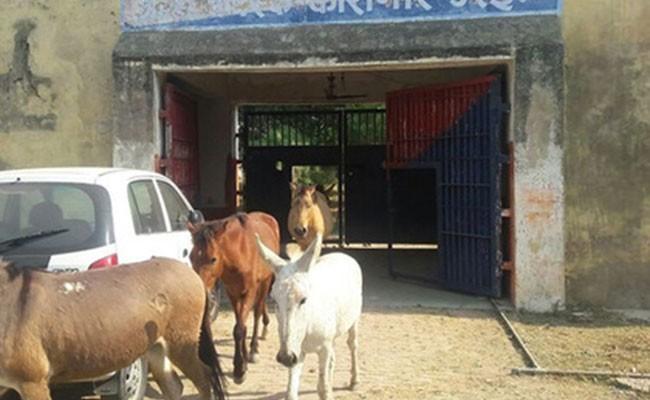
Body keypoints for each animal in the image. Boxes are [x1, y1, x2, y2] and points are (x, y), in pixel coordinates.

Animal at [0, 258, 225, 400]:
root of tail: (191, 272)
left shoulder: (32, 382)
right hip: (156, 348)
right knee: (174, 387)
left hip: (182, 344)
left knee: (204, 381)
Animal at [188, 212, 279, 384]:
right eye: (190, 257)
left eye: (213, 259)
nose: (199, 290)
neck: (240, 253)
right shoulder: (233, 293)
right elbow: (240, 325)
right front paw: (243, 360)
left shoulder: (249, 292)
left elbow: (239, 329)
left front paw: (239, 370)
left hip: (265, 282)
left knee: (258, 312)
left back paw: (254, 348)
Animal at [256, 233, 362, 400]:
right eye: (274, 300)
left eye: (304, 300)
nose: (285, 357)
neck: (308, 325)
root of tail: (341, 254)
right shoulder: (297, 352)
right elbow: (291, 393)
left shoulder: (322, 349)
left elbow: (323, 390)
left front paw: (328, 391)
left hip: (354, 320)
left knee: (352, 345)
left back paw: (354, 381)